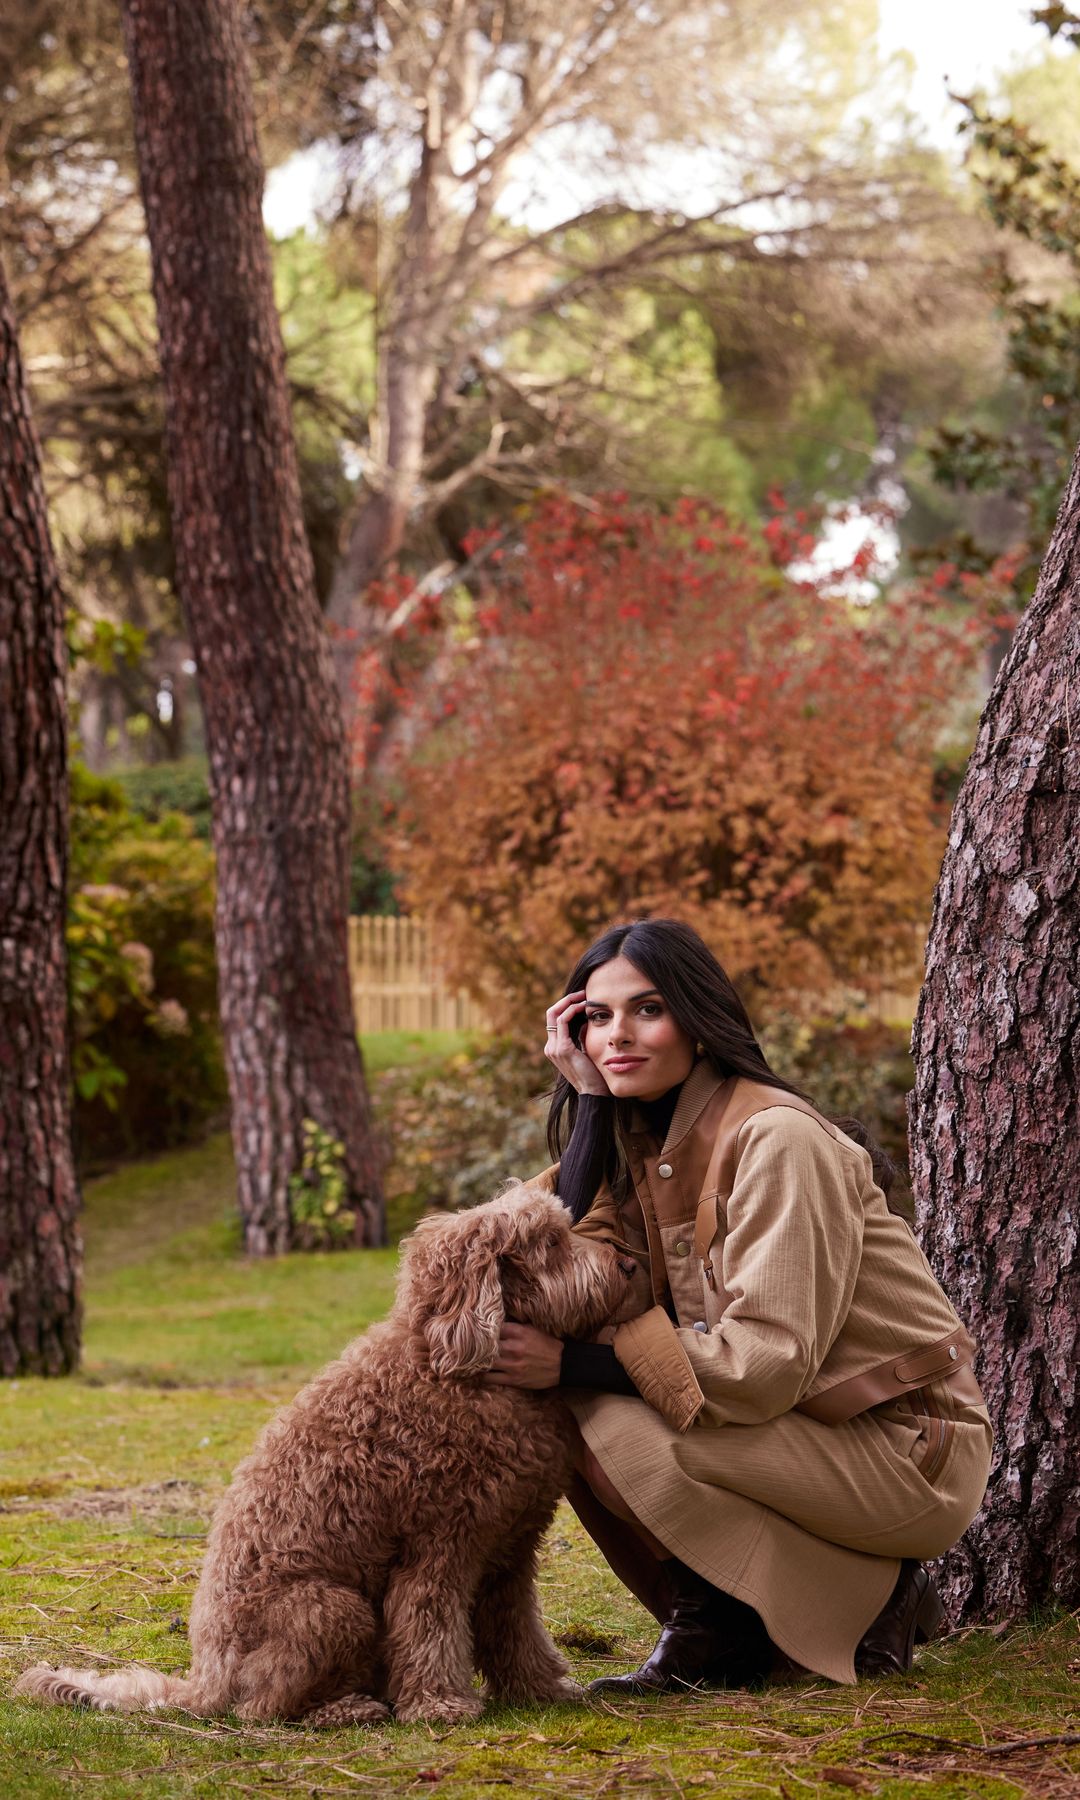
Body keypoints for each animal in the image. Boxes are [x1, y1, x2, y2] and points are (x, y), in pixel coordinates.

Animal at [16, 1188, 637, 1720]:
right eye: (550, 1243)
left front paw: (542, 1689)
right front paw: (440, 1705)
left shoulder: (509, 1548)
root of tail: (204, 1681)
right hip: (334, 1609)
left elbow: (517, 1628)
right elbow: (428, 1624)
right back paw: (346, 1710)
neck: (457, 1367)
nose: (628, 1267)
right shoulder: (439, 1546)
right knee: (261, 1707)